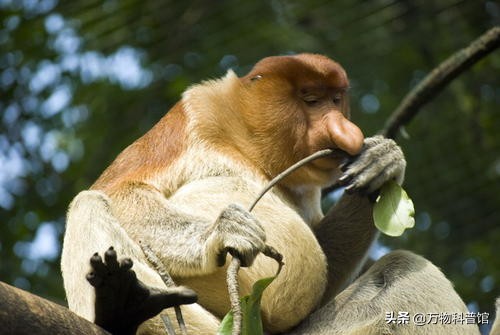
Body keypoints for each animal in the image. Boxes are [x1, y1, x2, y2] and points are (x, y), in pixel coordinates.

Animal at [60, 53, 486, 334]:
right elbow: (119, 190)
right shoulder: (193, 115)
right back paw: (123, 308)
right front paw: (224, 232)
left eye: (337, 98)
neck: (250, 147)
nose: (347, 131)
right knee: (87, 204)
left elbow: (325, 262)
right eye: (311, 100)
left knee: (404, 271)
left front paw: (382, 162)